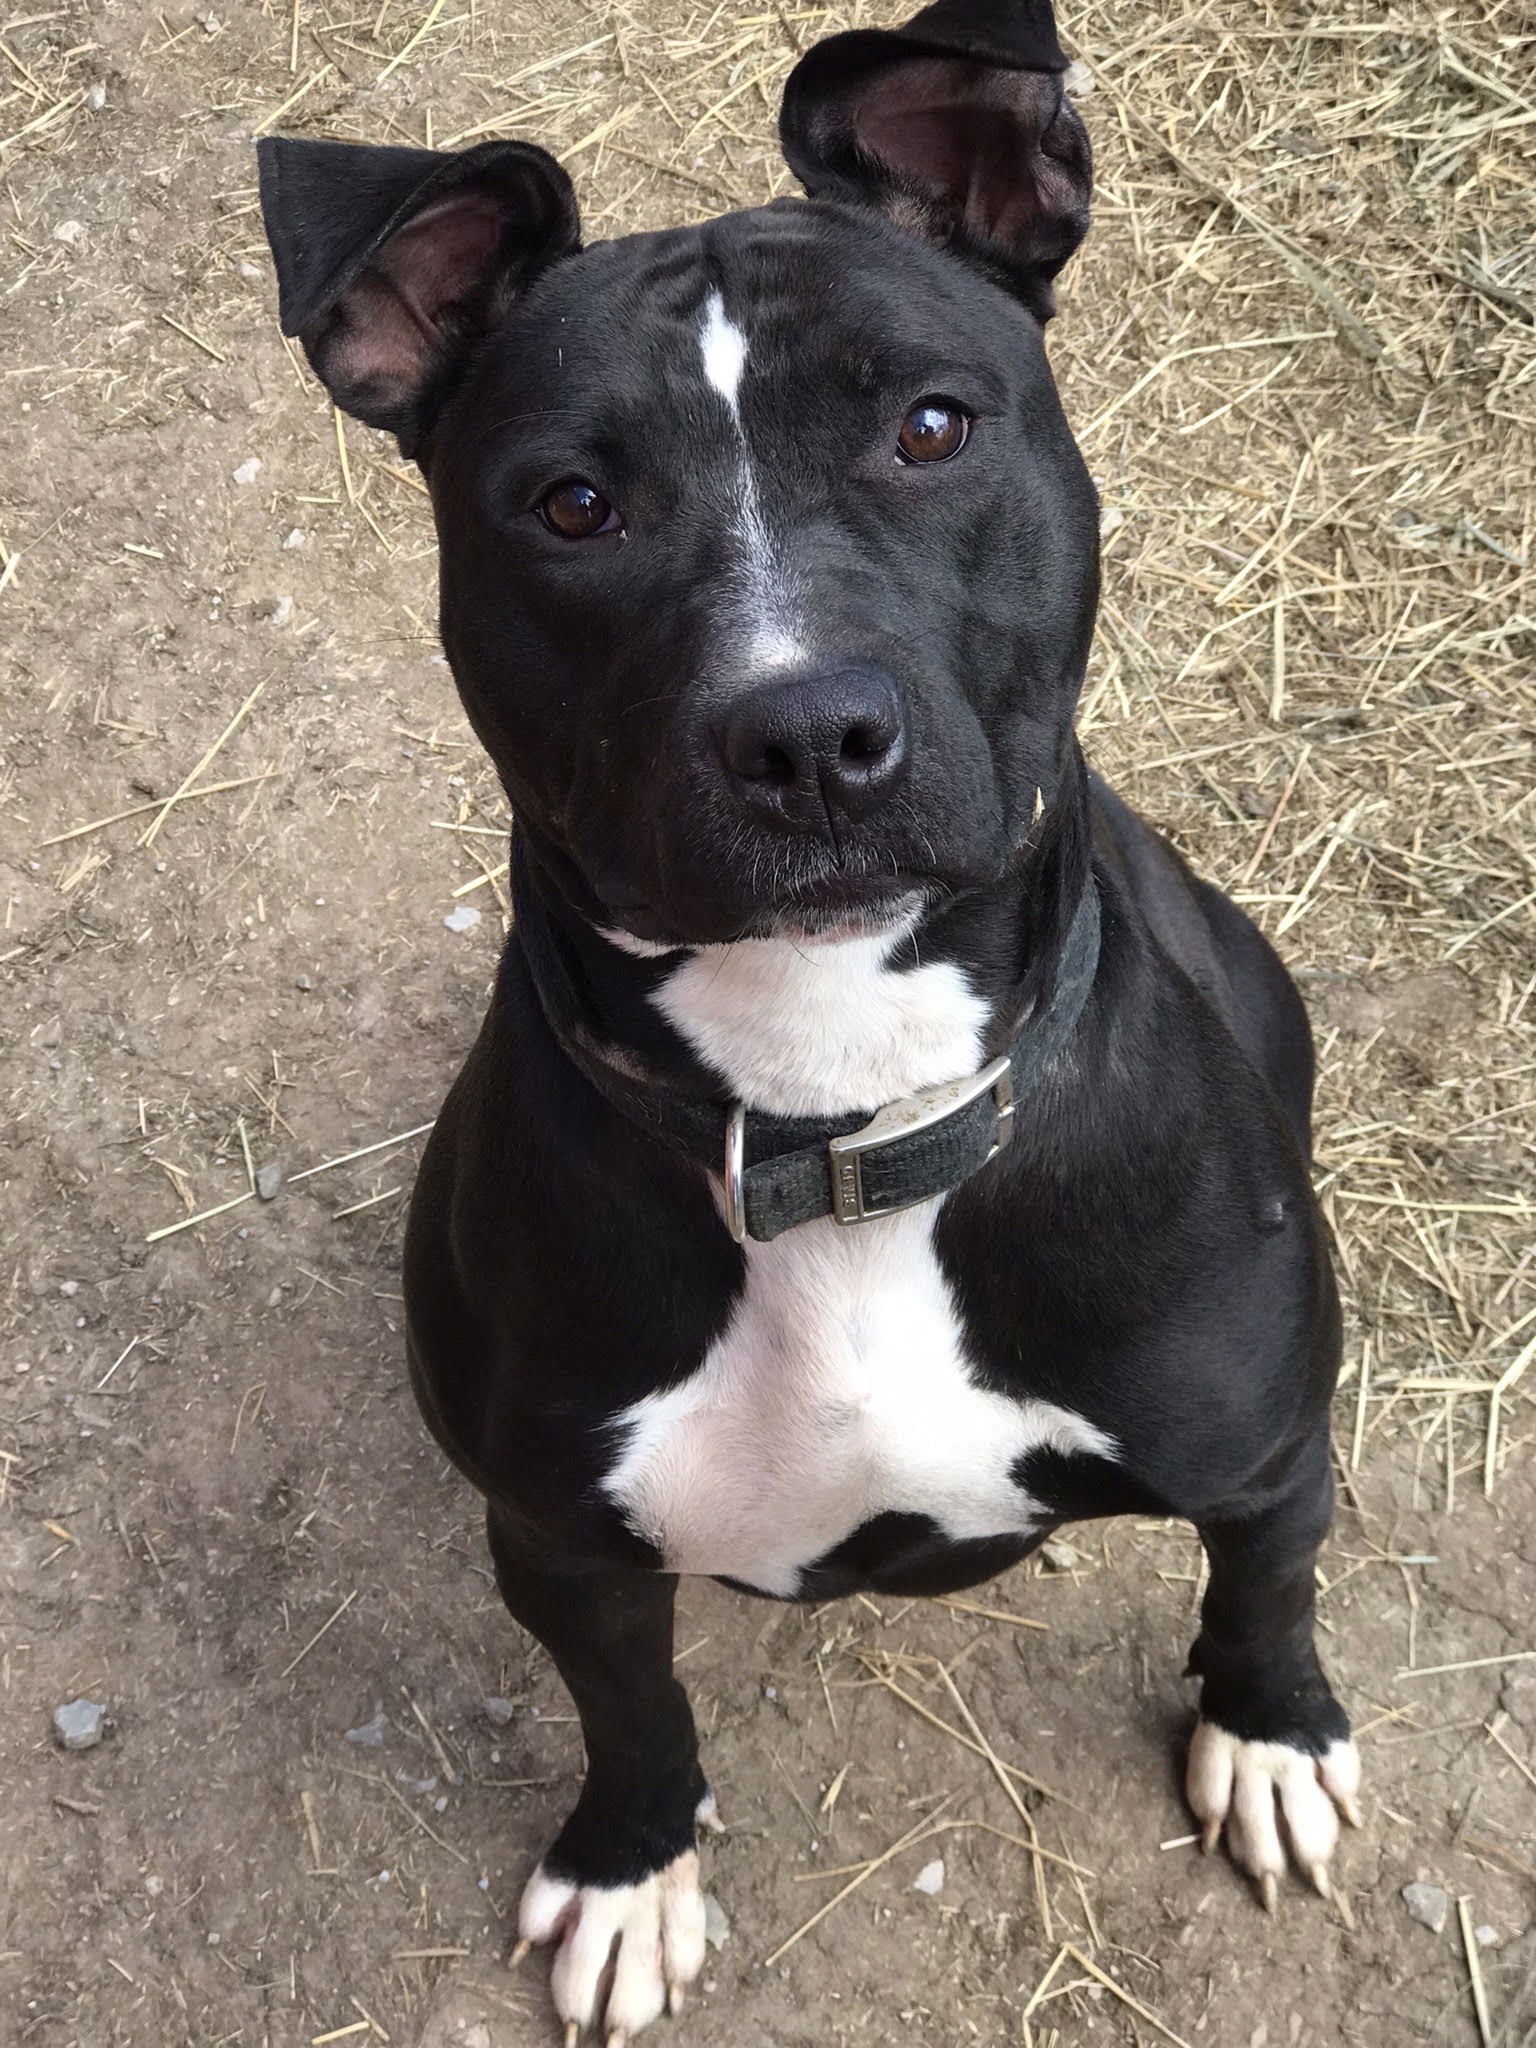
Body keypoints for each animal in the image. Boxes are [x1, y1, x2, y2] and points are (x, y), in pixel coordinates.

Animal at [259, 4, 1368, 2031]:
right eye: (572, 503)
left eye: (930, 424)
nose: (807, 735)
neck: (837, 1106)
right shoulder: (562, 1538)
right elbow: (631, 1712)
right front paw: (632, 1869)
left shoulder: (1259, 1452)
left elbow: (1266, 1584)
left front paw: (1267, 1733)